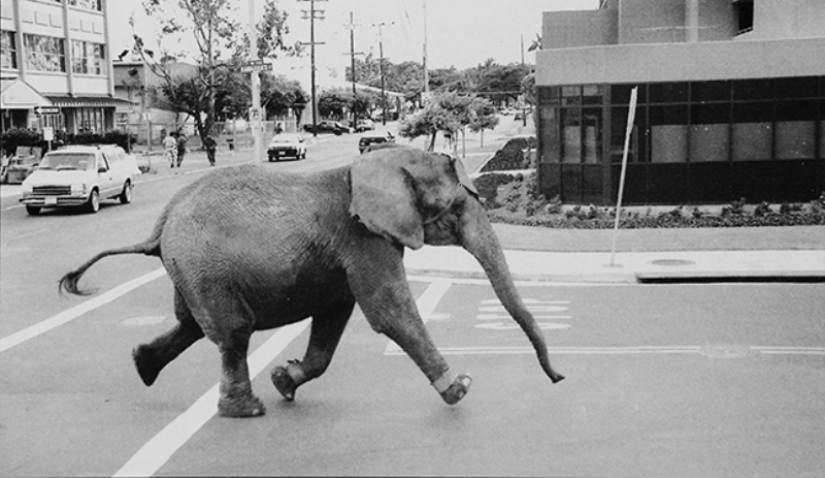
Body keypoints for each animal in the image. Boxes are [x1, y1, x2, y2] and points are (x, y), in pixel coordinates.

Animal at [59, 145, 564, 418]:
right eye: (458, 208)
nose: (559, 378)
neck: (377, 164)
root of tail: (160, 226)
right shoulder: (364, 237)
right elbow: (389, 312)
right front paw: (460, 388)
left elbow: (335, 315)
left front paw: (285, 379)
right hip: (204, 268)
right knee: (232, 332)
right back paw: (247, 411)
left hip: (191, 270)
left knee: (191, 325)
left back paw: (142, 365)